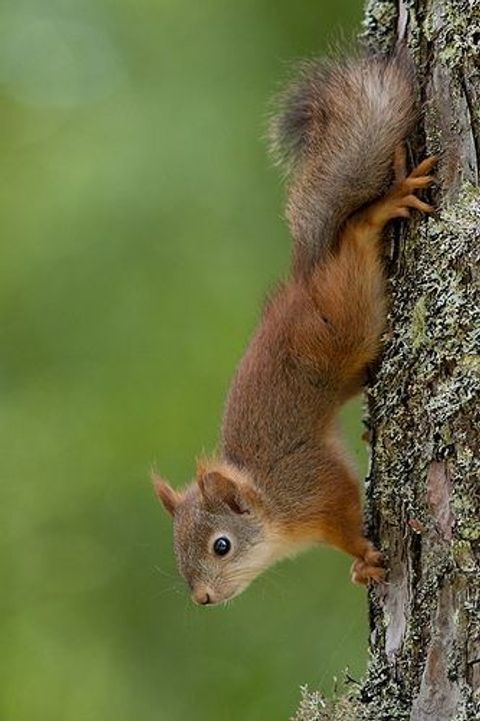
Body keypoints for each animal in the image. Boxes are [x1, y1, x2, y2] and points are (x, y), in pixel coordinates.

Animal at [153, 52, 436, 606]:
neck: (271, 507)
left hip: (345, 316)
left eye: (221, 546)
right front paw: (360, 568)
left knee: (354, 232)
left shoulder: (315, 487)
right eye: (176, 555)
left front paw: (363, 555)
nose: (202, 598)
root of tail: (306, 277)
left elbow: (345, 515)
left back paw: (382, 206)